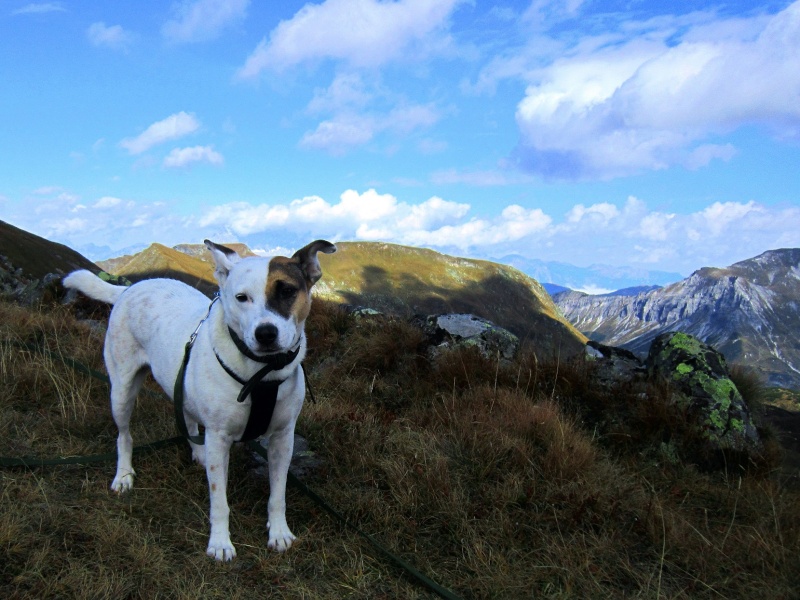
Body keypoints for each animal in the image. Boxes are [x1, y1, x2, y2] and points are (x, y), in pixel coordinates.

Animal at [63, 240, 334, 564]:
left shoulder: (283, 438)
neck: (261, 372)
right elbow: (219, 501)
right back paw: (124, 475)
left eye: (287, 291)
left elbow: (277, 494)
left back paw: (198, 452)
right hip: (122, 390)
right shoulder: (219, 437)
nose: (266, 333)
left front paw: (279, 531)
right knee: (124, 435)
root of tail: (130, 288)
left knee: (187, 418)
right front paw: (220, 542)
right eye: (241, 298)